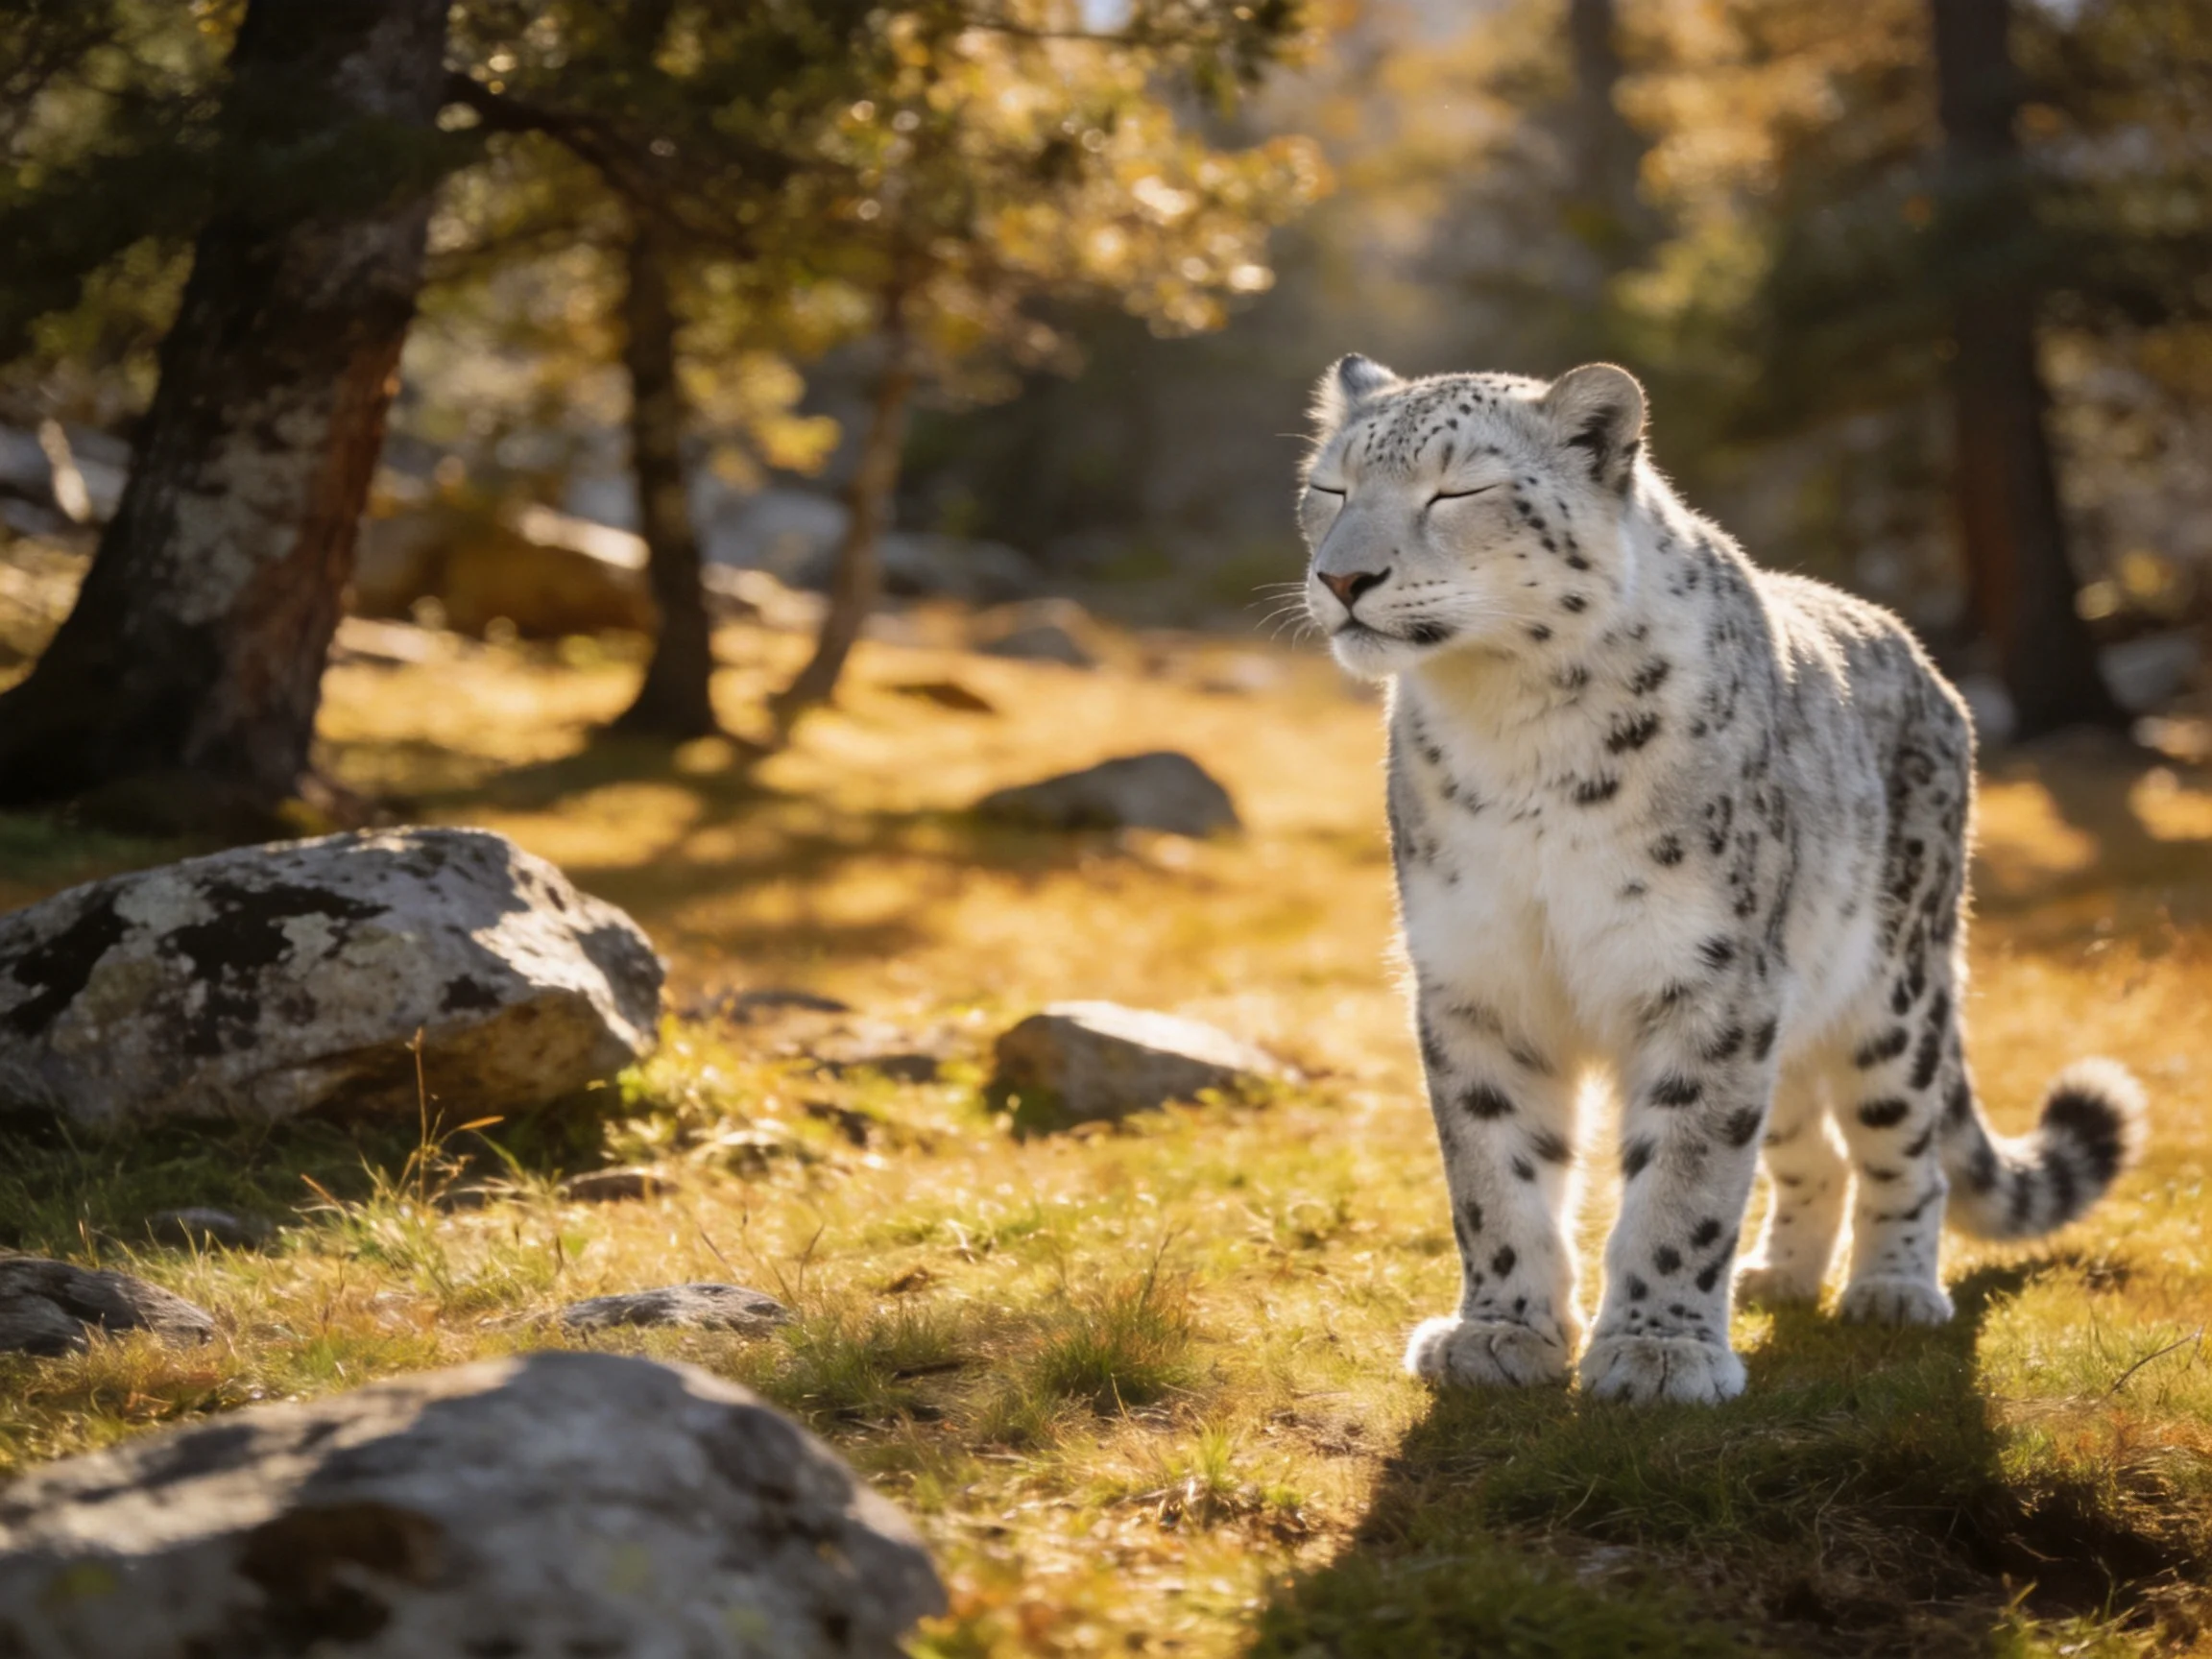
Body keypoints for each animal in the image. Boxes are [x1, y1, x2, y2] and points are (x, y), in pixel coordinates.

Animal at [1297, 354, 2147, 1405]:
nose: (1342, 576)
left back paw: (1893, 1290)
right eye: (1330, 487)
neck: (1513, 732)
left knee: (1902, 1143)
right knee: (1807, 1145)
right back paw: (1778, 1275)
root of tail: (1930, 669)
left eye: (1459, 490)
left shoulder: (1707, 976)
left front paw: (1659, 1351)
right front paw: (1499, 1332)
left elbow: (1686, 1173)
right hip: (1789, 1011)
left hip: (1892, 990)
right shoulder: (1475, 976)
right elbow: (1493, 1169)